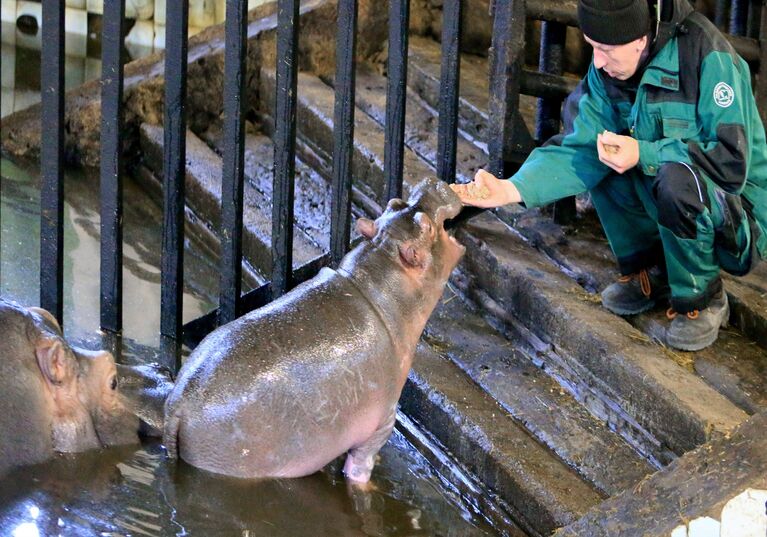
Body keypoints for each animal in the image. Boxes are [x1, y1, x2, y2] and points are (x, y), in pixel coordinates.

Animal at [165, 179, 464, 482]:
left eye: (395, 203)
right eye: (426, 225)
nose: (431, 183)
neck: (378, 281)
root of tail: (178, 406)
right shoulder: (383, 422)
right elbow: (360, 466)